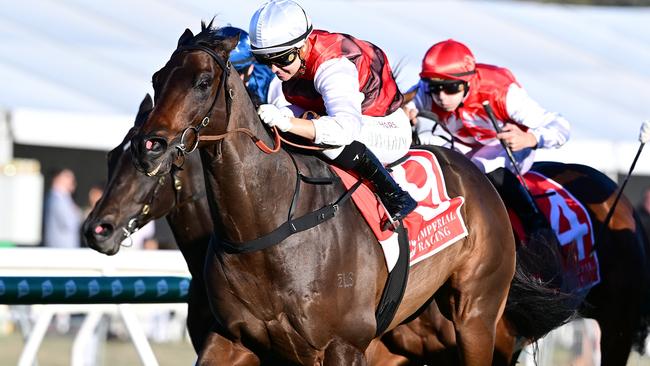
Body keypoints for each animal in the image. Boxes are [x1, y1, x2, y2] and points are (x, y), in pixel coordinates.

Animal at [129, 23, 520, 366]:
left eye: (203, 82)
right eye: (157, 78)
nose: (148, 147)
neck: (267, 226)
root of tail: (476, 173)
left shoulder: (344, 345)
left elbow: (341, 126)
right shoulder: (232, 338)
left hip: (476, 317)